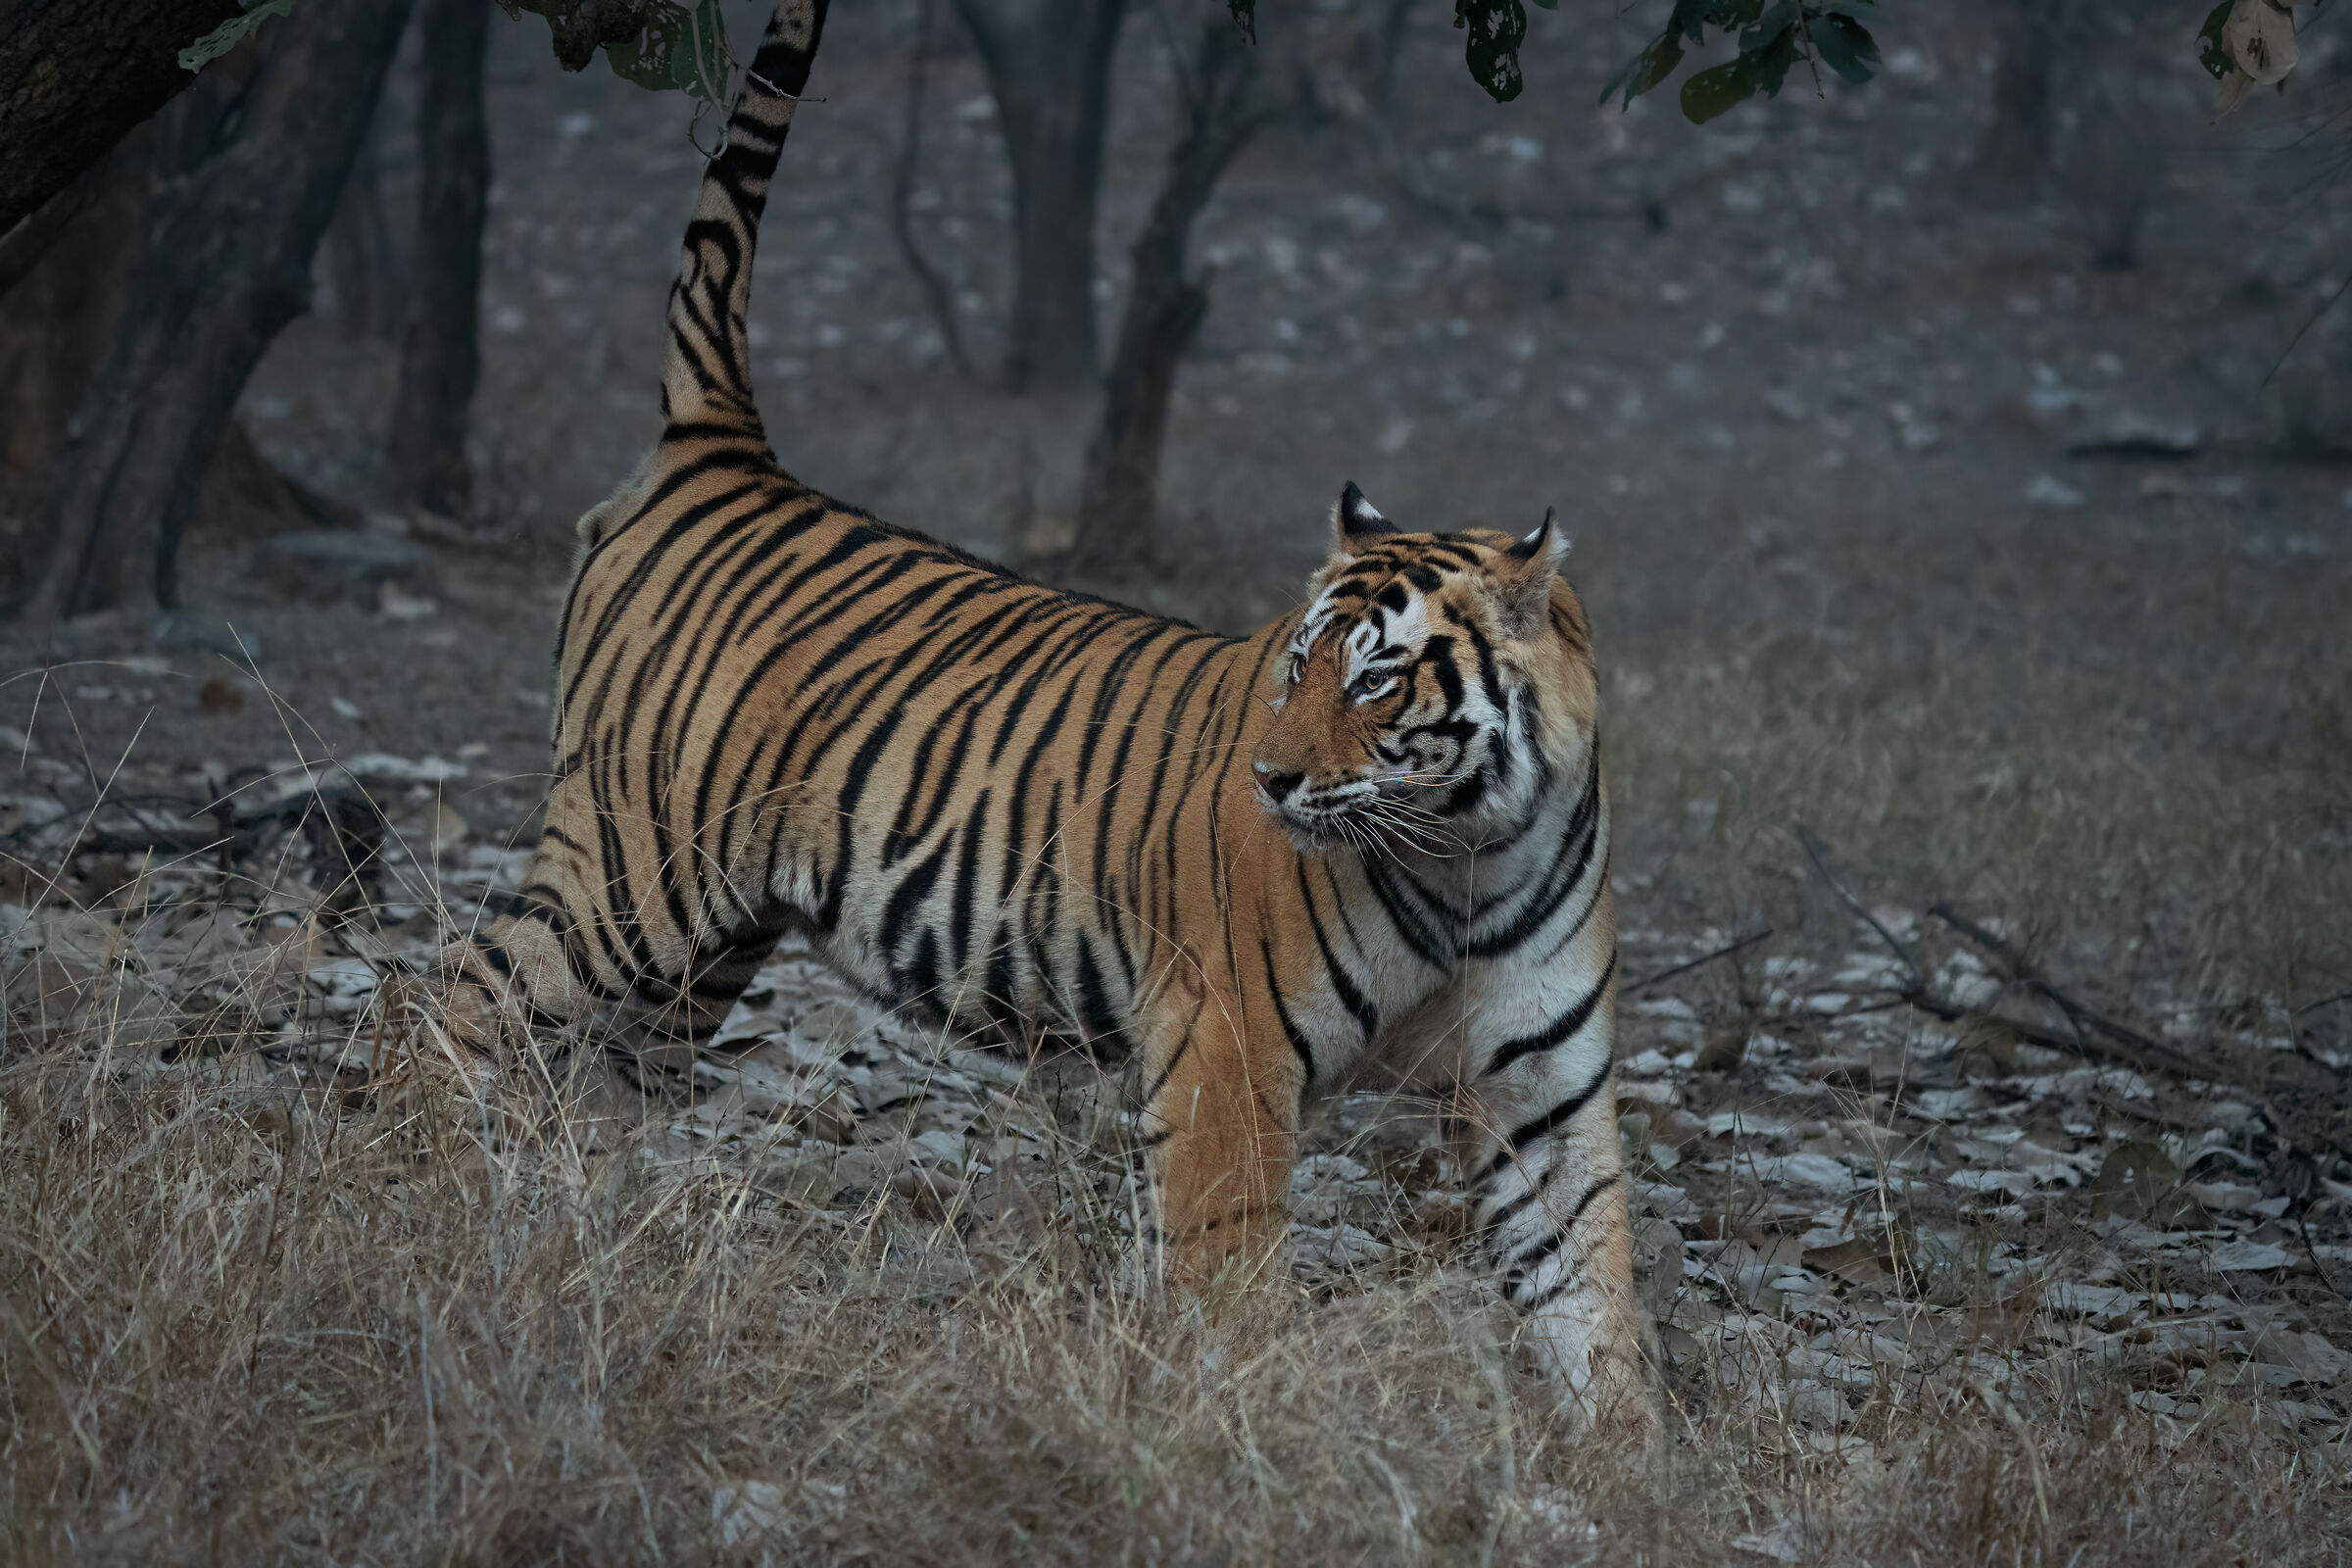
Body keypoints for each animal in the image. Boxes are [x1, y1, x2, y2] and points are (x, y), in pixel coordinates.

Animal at [426, 0, 1653, 1434]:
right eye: (1298, 665)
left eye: (1376, 679)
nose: (1270, 781)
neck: (1472, 848)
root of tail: (727, 455)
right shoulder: (1231, 1049)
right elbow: (1229, 1273)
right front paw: (1231, 1418)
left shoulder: (1544, 1095)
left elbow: (1595, 1302)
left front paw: (1627, 1461)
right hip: (631, 873)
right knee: (457, 993)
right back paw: (410, 1172)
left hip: (701, 946)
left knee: (605, 1085)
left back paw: (589, 1240)